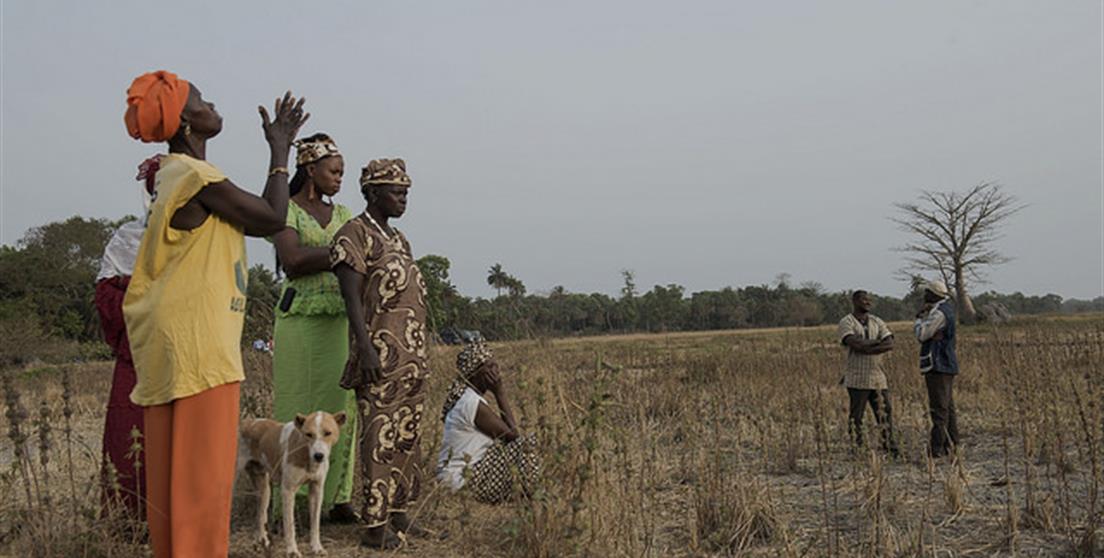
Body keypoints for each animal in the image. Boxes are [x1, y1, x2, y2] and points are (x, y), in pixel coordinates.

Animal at [237, 411, 344, 554]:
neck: (305, 453)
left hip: (264, 491)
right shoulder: (288, 491)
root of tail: (244, 423)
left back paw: (261, 542)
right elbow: (290, 526)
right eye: (308, 434)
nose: (318, 456)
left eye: (328, 433)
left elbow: (315, 524)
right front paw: (292, 551)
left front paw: (317, 547)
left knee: (260, 516)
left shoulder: (317, 490)